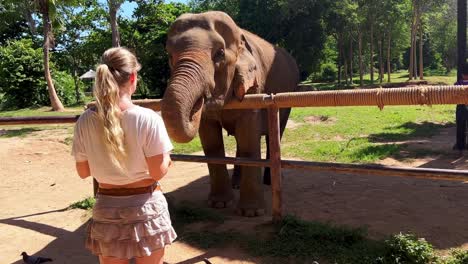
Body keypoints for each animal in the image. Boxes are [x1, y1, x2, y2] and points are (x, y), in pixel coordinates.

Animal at [162, 10, 300, 217]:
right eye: (170, 55)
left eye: (219, 53)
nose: (201, 100)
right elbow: (211, 144)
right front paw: (219, 204)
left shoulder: (254, 85)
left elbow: (250, 139)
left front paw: (251, 212)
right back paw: (236, 183)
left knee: (272, 134)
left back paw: (268, 182)